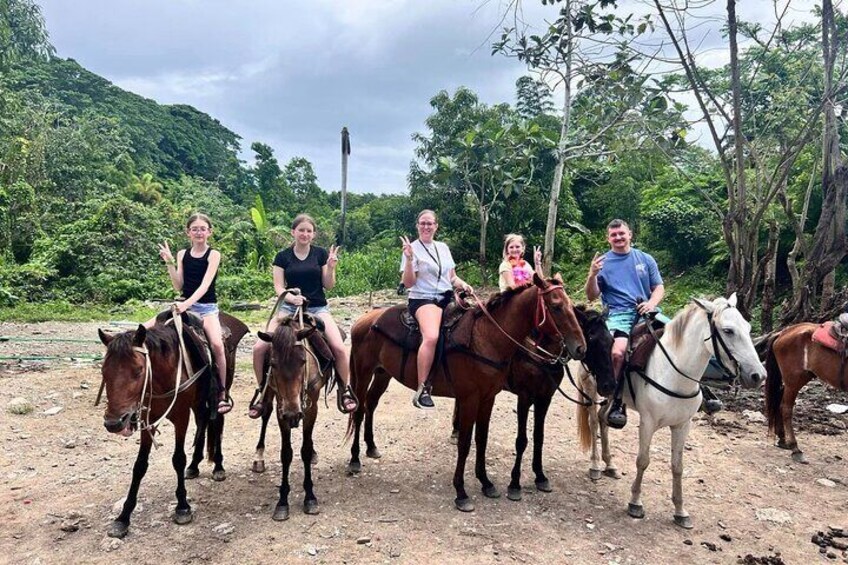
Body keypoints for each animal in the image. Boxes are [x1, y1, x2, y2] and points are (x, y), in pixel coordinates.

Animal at [253, 316, 330, 516]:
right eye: (273, 364)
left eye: (303, 361)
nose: (293, 415)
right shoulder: (282, 410)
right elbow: (286, 453)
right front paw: (282, 501)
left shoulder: (311, 407)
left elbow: (305, 449)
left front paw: (310, 497)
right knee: (265, 413)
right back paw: (258, 457)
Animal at [344, 274, 584, 512]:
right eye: (556, 307)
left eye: (572, 307)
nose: (580, 348)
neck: (486, 338)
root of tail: (363, 321)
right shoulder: (476, 398)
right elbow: (467, 442)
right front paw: (462, 492)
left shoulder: (491, 398)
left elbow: (483, 438)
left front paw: (486, 482)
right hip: (363, 374)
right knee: (359, 410)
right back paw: (354, 459)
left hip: (383, 374)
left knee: (371, 404)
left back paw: (371, 447)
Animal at [760, 322, 848, 462]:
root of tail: (783, 333)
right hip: (794, 380)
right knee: (786, 408)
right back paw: (795, 448)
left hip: (797, 379)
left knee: (779, 401)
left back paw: (782, 439)